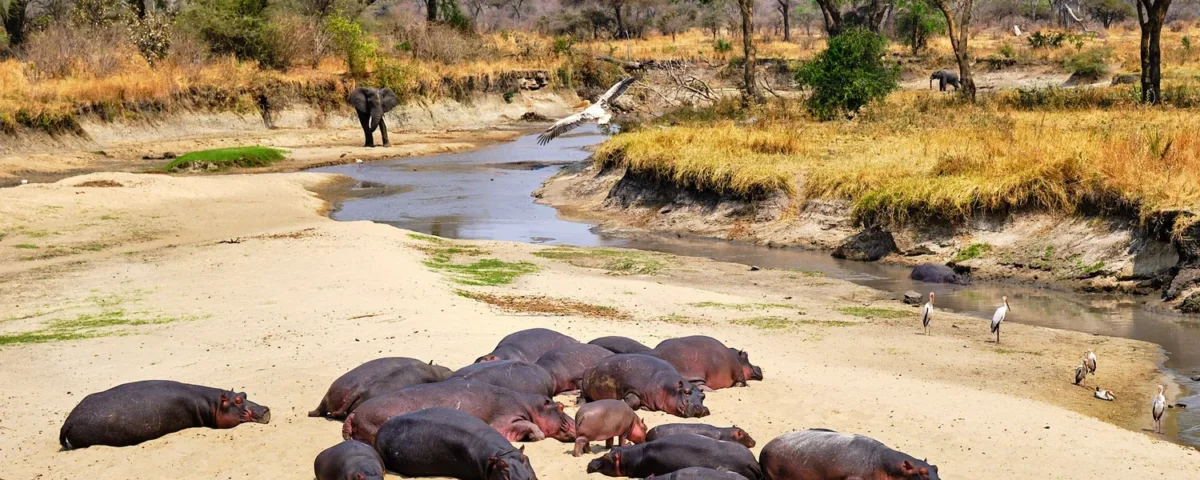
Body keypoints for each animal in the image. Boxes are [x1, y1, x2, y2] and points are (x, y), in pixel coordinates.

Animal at [309, 357, 453, 419]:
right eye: (448, 368)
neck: (434, 370)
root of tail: (359, 389)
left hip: (334, 390)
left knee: (320, 409)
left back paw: (311, 413)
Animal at [343, 379, 575, 444]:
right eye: (562, 407)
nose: (576, 422)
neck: (531, 406)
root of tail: (353, 413)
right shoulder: (506, 419)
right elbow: (530, 424)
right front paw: (537, 436)